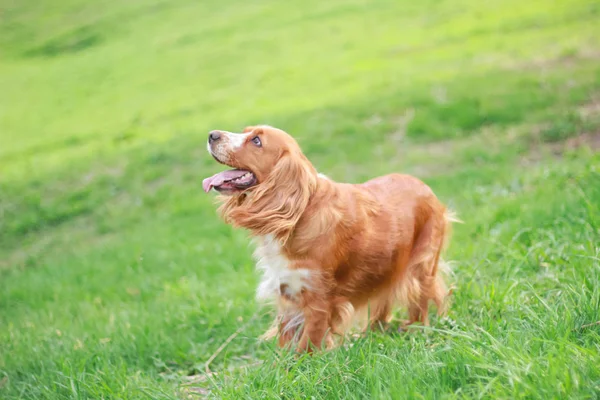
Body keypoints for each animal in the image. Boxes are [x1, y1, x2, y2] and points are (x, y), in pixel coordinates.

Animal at [204, 126, 452, 354]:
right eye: (244, 131)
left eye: (256, 141)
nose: (212, 134)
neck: (301, 211)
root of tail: (425, 186)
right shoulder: (287, 292)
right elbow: (286, 341)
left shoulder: (319, 299)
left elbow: (307, 345)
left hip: (421, 266)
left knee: (420, 303)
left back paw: (416, 329)